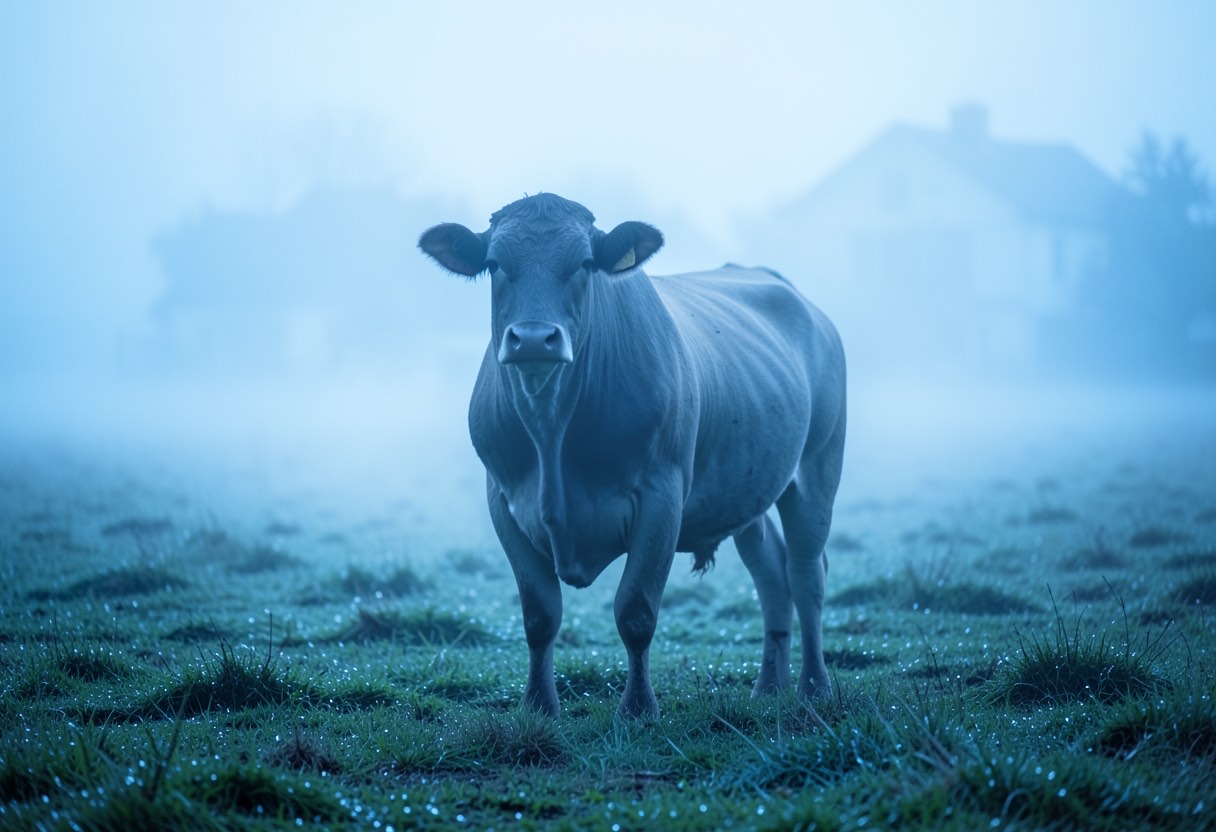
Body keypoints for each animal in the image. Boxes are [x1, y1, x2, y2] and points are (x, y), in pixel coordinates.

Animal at [419, 194, 846, 719]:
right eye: (496, 264)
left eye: (585, 264)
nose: (535, 338)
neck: (551, 432)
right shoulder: (503, 500)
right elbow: (539, 615)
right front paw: (538, 705)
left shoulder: (662, 496)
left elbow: (636, 610)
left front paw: (639, 708)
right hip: (748, 487)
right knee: (772, 574)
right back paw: (769, 686)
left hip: (817, 469)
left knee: (806, 574)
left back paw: (814, 687)